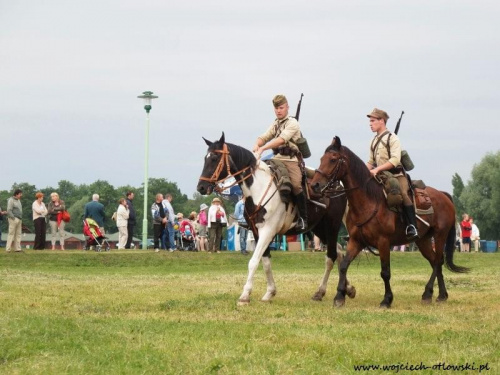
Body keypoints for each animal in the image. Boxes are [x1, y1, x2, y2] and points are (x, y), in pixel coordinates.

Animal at [196, 134, 356, 306]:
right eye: (205, 158)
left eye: (215, 158)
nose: (201, 187)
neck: (258, 190)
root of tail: (338, 186)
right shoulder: (257, 232)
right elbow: (265, 262)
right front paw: (269, 292)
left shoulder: (268, 231)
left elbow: (253, 261)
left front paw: (244, 296)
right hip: (319, 229)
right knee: (338, 251)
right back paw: (348, 288)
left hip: (331, 226)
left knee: (331, 256)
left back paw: (321, 292)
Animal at [308, 137, 468, 308]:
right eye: (321, 159)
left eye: (332, 159)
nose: (314, 185)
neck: (369, 201)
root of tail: (444, 195)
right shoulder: (356, 241)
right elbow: (344, 265)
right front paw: (339, 296)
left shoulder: (383, 242)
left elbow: (385, 272)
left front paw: (387, 299)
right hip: (423, 240)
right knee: (434, 262)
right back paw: (440, 295)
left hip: (439, 235)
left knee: (438, 261)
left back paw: (428, 292)